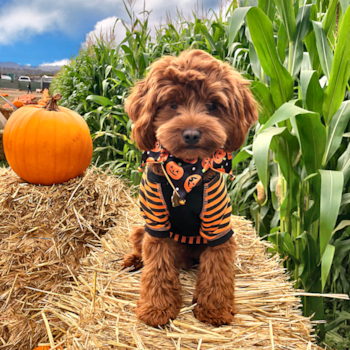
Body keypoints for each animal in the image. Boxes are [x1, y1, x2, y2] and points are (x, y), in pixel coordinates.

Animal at [122, 49, 258, 328]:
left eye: (213, 105)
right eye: (172, 104)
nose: (192, 134)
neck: (186, 169)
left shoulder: (218, 226)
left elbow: (217, 269)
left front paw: (215, 310)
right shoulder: (156, 223)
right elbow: (157, 267)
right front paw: (157, 308)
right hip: (139, 229)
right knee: (141, 248)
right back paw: (132, 261)